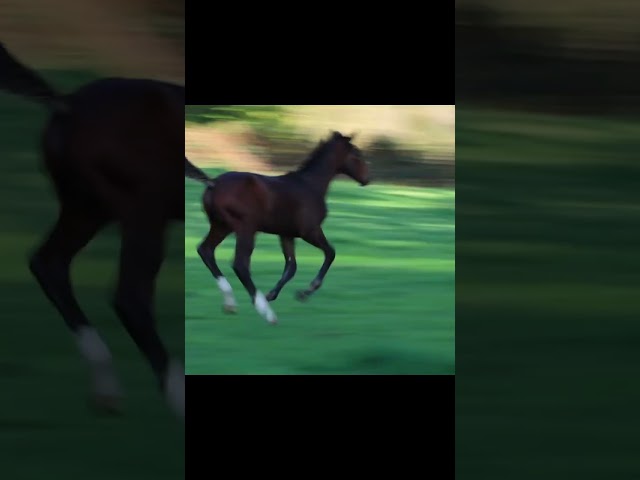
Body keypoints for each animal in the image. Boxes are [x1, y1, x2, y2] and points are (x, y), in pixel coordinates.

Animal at [0, 42, 184, 419]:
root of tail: (69, 105)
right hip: (144, 213)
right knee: (130, 298)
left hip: (87, 209)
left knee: (49, 265)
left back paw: (106, 389)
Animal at [187, 131, 370, 324]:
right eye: (357, 154)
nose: (367, 178)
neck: (311, 185)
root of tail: (213, 183)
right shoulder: (310, 231)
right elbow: (330, 253)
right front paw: (304, 293)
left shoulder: (286, 235)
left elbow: (291, 267)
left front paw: (272, 294)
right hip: (246, 228)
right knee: (240, 264)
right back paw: (266, 312)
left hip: (221, 226)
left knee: (206, 250)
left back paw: (231, 303)